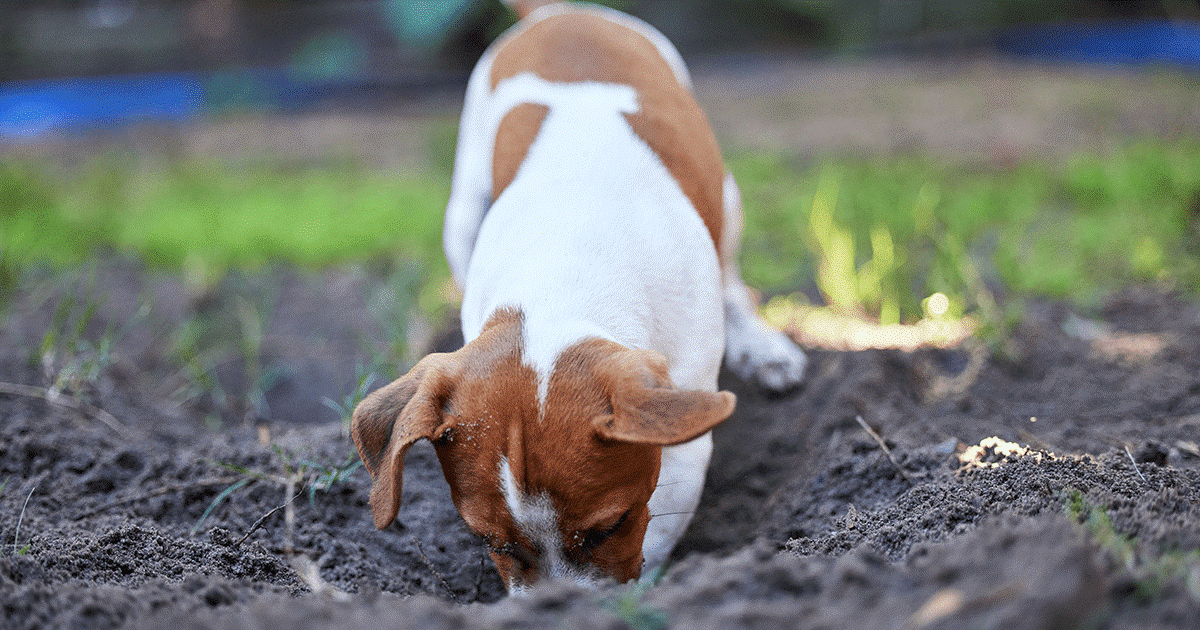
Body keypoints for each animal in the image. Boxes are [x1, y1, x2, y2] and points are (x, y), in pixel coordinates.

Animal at [352, 0, 806, 592]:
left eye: (611, 527)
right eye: (491, 542)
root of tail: (563, 10)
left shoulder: (683, 439)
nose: (557, 607)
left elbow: (661, 530)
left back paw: (764, 346)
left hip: (727, 199)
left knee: (732, 278)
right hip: (463, 209)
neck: (562, 272)